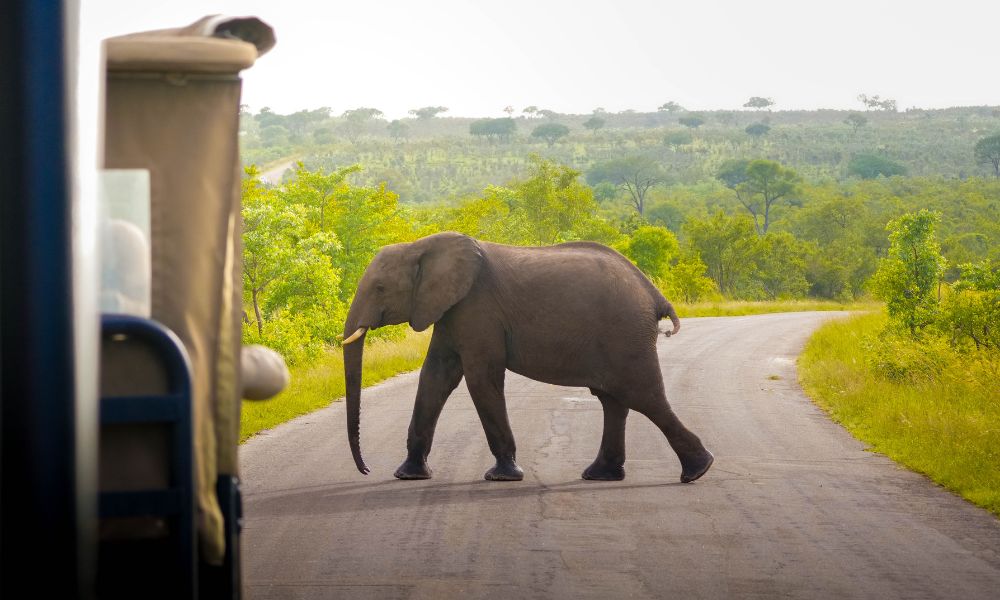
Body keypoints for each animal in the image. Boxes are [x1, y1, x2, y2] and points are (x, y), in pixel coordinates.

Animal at [342, 232, 714, 483]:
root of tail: (654, 294)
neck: (419, 246)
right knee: (614, 400)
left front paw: (503, 476)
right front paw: (408, 474)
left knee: (644, 396)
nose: (365, 469)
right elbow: (435, 377)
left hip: (626, 335)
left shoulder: (478, 308)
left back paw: (697, 471)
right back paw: (601, 475)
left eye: (380, 289)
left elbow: (480, 377)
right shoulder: (449, 310)